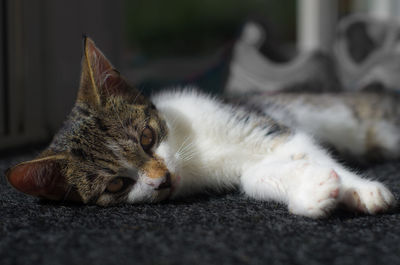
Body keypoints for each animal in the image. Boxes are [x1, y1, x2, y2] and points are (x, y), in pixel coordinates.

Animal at [3, 38, 396, 218]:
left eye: (147, 137)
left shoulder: (263, 125)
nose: (162, 180)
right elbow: (257, 177)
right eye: (116, 184)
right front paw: (312, 192)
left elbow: (307, 149)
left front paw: (361, 189)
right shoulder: (251, 164)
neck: (194, 154)